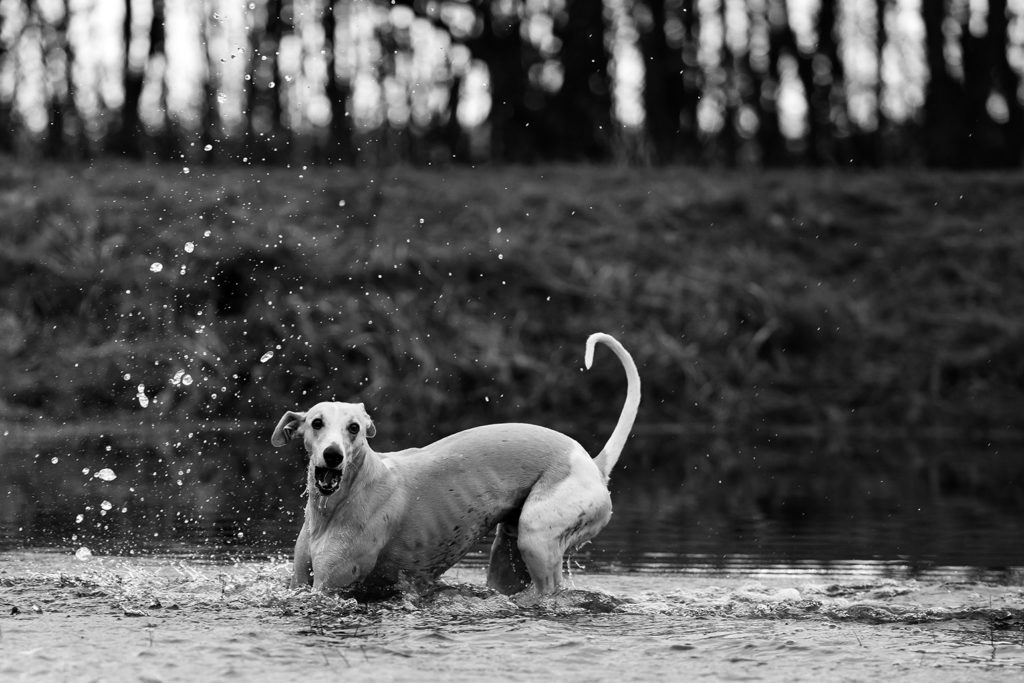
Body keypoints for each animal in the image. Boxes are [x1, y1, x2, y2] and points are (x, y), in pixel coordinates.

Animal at [272, 331, 638, 593]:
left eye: (354, 428)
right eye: (316, 422)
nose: (333, 456)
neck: (338, 502)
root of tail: (593, 462)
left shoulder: (329, 588)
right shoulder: (300, 580)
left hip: (538, 537)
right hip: (508, 553)